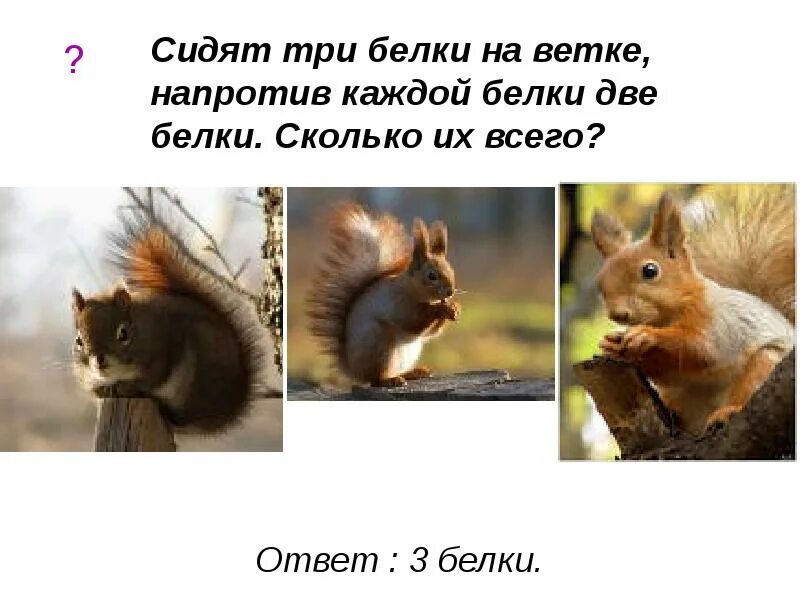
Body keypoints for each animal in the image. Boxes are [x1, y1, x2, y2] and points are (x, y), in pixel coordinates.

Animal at [71, 215, 274, 433]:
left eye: (123, 334)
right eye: (78, 340)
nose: (99, 360)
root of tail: (231, 407)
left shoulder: (161, 354)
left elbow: (152, 378)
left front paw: (127, 387)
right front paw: (102, 389)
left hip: (198, 382)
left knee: (184, 417)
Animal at [307, 202, 461, 387]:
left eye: (451, 270)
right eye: (431, 276)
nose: (450, 291)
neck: (410, 288)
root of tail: (354, 370)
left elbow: (430, 333)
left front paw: (455, 307)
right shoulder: (398, 303)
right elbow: (414, 322)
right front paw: (441, 309)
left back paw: (413, 372)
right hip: (379, 342)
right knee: (376, 379)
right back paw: (391, 380)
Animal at [591, 190, 795, 434]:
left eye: (650, 270)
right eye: (600, 282)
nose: (617, 314)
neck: (665, 317)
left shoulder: (718, 322)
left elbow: (701, 347)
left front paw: (646, 335)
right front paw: (613, 343)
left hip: (765, 364)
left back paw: (727, 411)